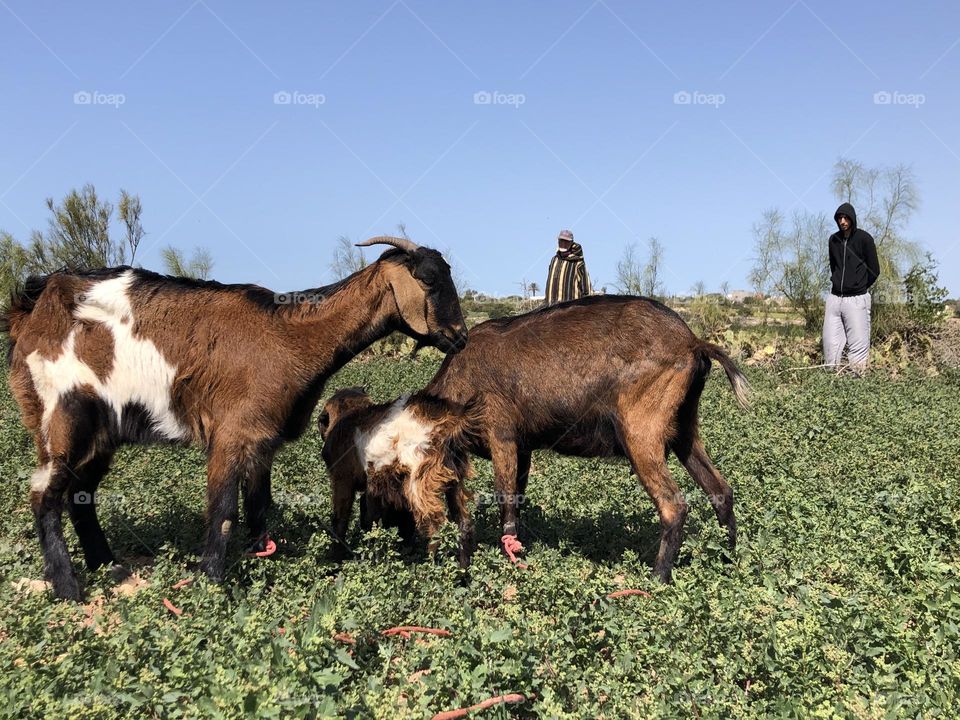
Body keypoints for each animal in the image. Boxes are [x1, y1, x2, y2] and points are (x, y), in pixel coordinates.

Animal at [316, 388, 478, 568]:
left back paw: (432, 567)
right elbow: (375, 518)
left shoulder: (342, 479)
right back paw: (463, 571)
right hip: (453, 479)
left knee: (438, 529)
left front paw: (335, 561)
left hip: (421, 483)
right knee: (463, 525)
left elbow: (341, 518)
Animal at [426, 296, 752, 584]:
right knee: (721, 491)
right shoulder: (523, 448)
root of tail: (692, 342)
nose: (453, 569)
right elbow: (512, 504)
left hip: (640, 432)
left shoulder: (502, 435)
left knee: (674, 505)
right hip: (684, 430)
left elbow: (505, 503)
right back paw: (727, 562)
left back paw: (657, 580)